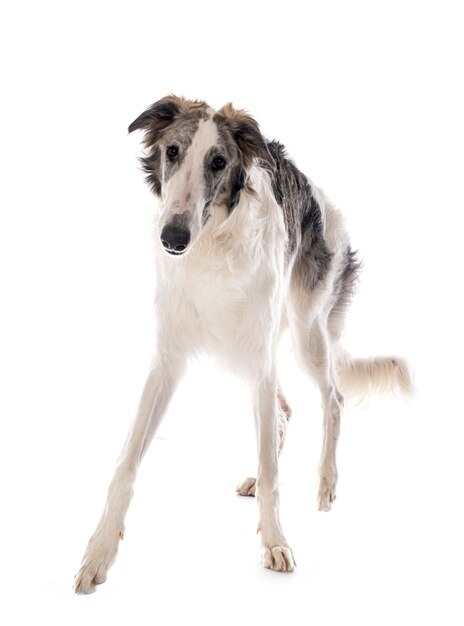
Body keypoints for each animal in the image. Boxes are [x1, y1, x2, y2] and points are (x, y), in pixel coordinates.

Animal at [73, 95, 414, 592]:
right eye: (172, 151)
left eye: (218, 162)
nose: (173, 237)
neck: (211, 246)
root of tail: (323, 200)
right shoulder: (168, 359)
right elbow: (126, 464)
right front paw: (98, 553)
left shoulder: (260, 357)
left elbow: (275, 475)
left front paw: (276, 543)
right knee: (284, 412)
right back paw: (258, 475)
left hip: (305, 332)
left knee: (332, 397)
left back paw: (326, 483)